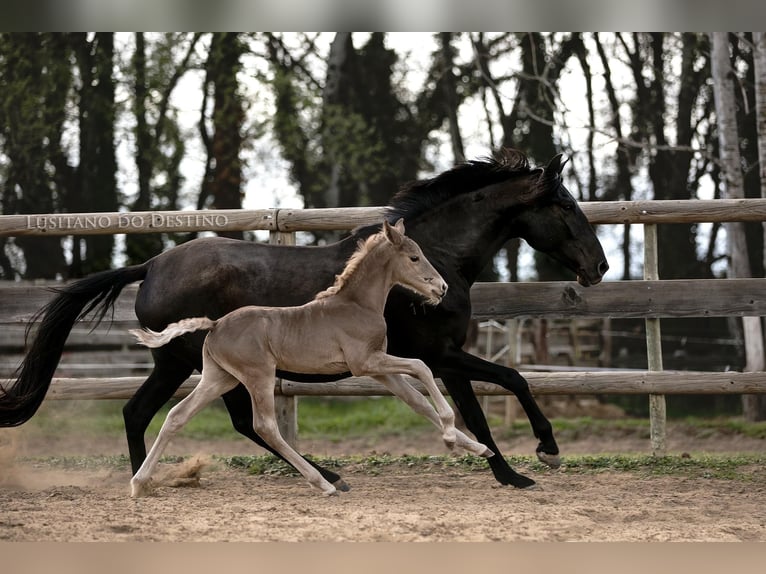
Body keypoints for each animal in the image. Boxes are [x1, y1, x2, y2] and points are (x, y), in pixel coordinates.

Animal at [128, 219, 492, 497]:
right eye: (415, 257)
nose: (441, 288)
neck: (356, 304)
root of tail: (215, 324)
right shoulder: (366, 362)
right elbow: (423, 369)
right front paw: (450, 435)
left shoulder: (378, 367)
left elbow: (418, 400)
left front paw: (478, 448)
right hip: (257, 375)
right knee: (264, 426)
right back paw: (325, 483)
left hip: (219, 377)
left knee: (176, 415)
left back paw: (139, 483)